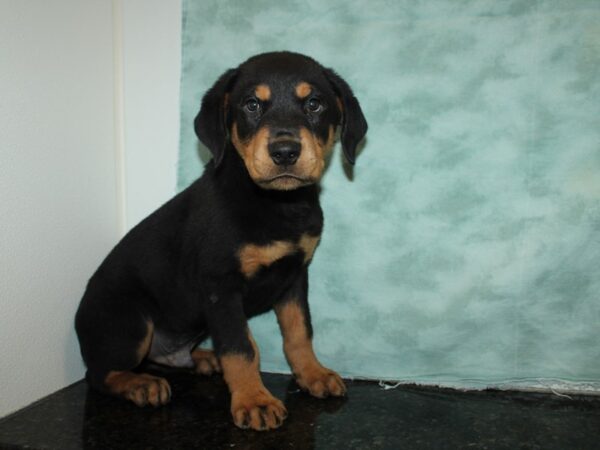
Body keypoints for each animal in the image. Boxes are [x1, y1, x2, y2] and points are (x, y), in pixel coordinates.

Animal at [74, 51, 366, 430]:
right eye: (252, 105)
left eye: (314, 104)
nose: (285, 151)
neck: (277, 204)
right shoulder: (220, 285)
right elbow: (241, 346)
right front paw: (254, 400)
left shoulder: (295, 275)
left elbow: (299, 332)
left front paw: (312, 374)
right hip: (131, 322)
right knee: (99, 373)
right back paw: (140, 384)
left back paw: (201, 359)